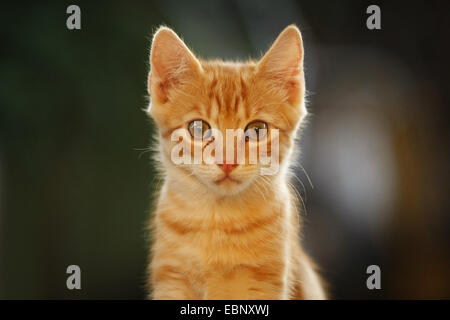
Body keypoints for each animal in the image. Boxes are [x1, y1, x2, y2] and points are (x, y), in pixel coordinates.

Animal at [146, 25, 326, 300]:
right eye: (199, 128)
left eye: (257, 130)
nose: (227, 161)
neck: (219, 219)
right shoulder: (172, 278)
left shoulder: (265, 282)